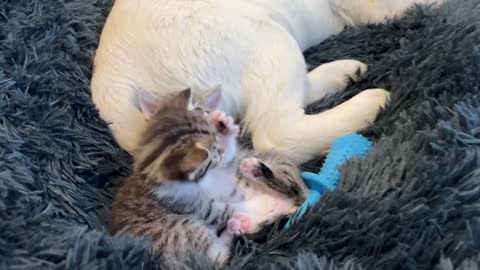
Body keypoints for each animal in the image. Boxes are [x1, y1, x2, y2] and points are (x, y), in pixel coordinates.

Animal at [109, 89, 308, 268]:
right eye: (214, 151)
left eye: (201, 110)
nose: (211, 115)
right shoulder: (185, 202)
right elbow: (220, 210)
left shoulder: (223, 165)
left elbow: (228, 157)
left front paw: (223, 124)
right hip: (183, 233)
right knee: (219, 255)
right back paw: (240, 222)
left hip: (281, 167)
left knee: (292, 189)